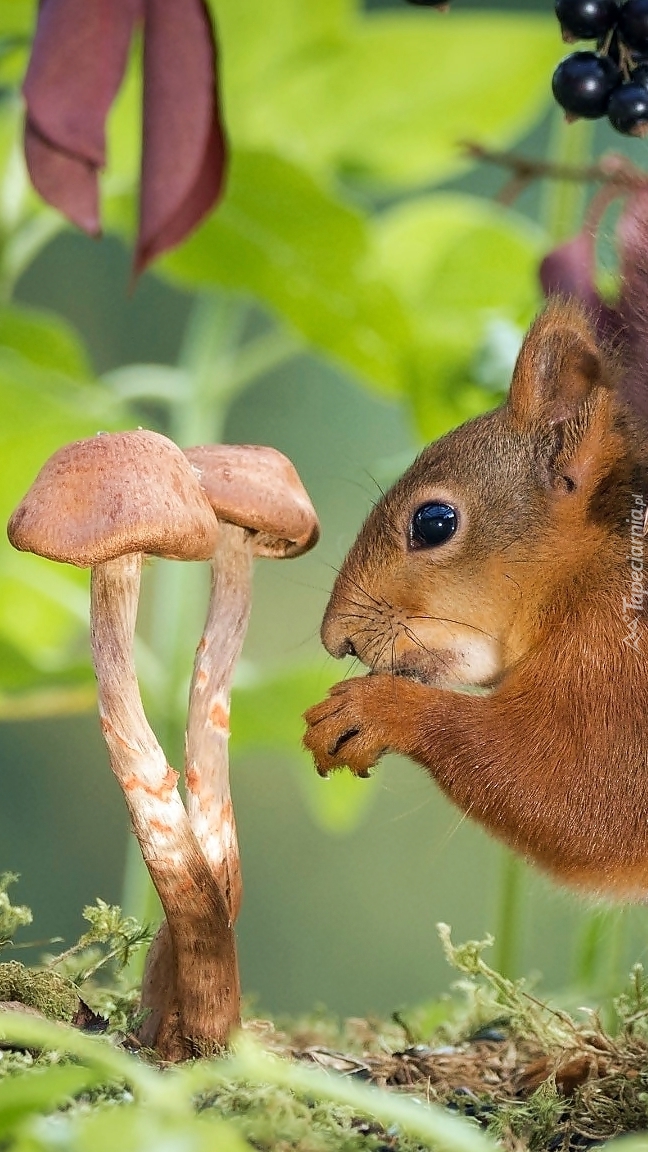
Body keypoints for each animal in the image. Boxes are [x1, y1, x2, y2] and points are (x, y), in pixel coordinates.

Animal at [302, 292, 645, 893]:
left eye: (434, 522)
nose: (336, 638)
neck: (592, 571)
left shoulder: (619, 668)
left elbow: (583, 795)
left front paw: (378, 708)